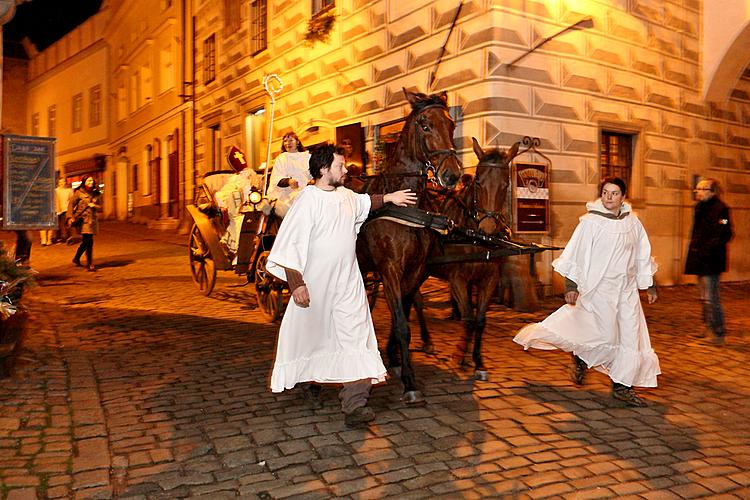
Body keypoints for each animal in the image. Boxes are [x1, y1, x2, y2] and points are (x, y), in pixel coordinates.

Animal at [356, 88, 462, 404]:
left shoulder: (414, 270)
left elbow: (402, 312)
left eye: (451, 124)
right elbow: (402, 323)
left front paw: (395, 357)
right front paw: (410, 381)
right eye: (425, 125)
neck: (405, 205)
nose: (452, 175)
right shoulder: (390, 268)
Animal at [420, 137, 520, 378]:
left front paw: (478, 361)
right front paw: (459, 355)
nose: (488, 228)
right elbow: (468, 319)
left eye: (505, 185)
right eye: (478, 183)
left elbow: (480, 320)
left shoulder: (489, 279)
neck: (475, 238)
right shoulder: (457, 279)